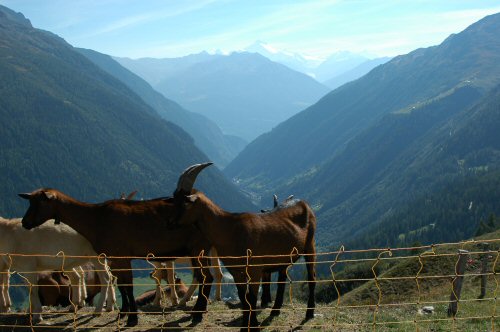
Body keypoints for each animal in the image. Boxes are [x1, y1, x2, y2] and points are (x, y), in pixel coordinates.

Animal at [18, 162, 214, 326]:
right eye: (30, 201)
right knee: (204, 277)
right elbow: (121, 285)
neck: (96, 218)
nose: (25, 223)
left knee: (206, 277)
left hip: (198, 249)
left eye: (40, 202)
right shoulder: (114, 258)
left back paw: (197, 313)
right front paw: (124, 313)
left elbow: (128, 286)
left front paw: (132, 318)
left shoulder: (122, 256)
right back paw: (198, 311)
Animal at [178, 188, 314, 328]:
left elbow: (252, 297)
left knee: (312, 277)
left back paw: (309, 313)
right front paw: (246, 323)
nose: (173, 222)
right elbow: (243, 296)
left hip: (310, 246)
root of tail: (303, 202)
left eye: (183, 205)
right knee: (282, 280)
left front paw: (253, 323)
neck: (230, 231)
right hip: (285, 257)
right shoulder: (236, 271)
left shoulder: (255, 269)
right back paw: (275, 311)